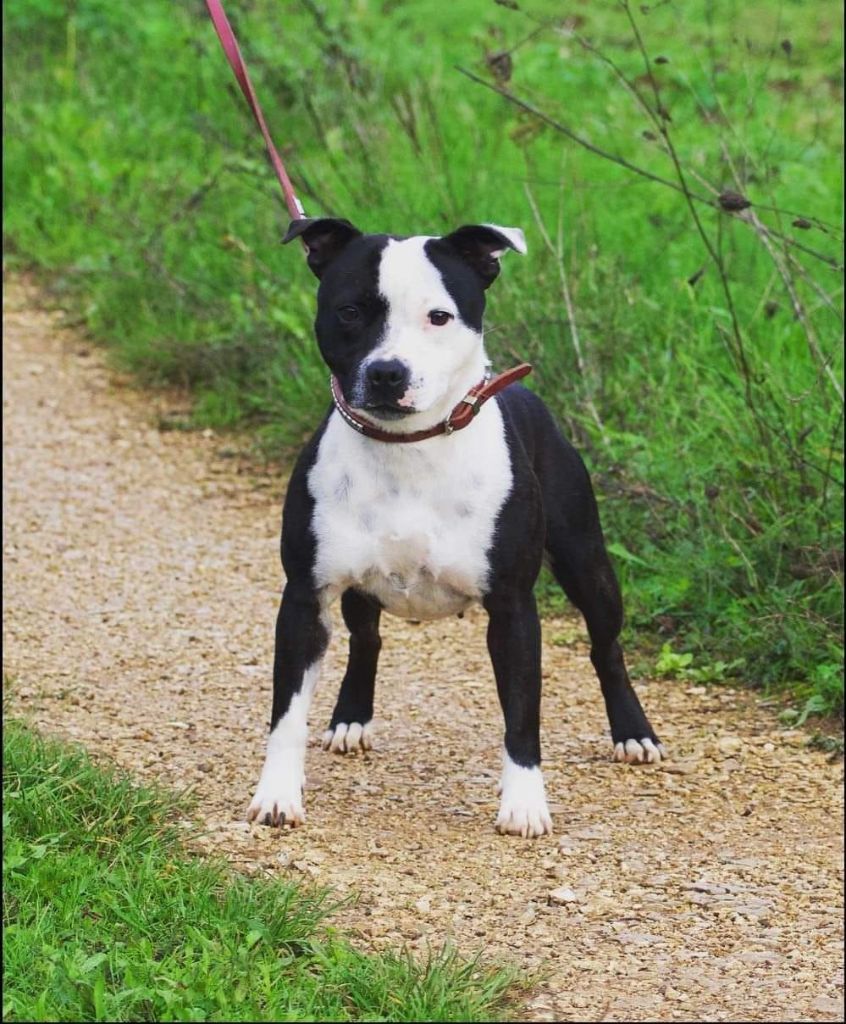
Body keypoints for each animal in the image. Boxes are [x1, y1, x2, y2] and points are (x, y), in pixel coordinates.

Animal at [246, 220, 663, 835]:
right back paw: (351, 718)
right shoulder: (304, 598)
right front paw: (277, 793)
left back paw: (634, 733)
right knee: (367, 639)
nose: (387, 372)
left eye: (438, 317)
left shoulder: (514, 609)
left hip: (587, 562)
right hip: (361, 587)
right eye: (350, 311)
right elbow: (287, 712)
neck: (408, 449)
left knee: (606, 646)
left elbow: (522, 714)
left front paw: (524, 804)